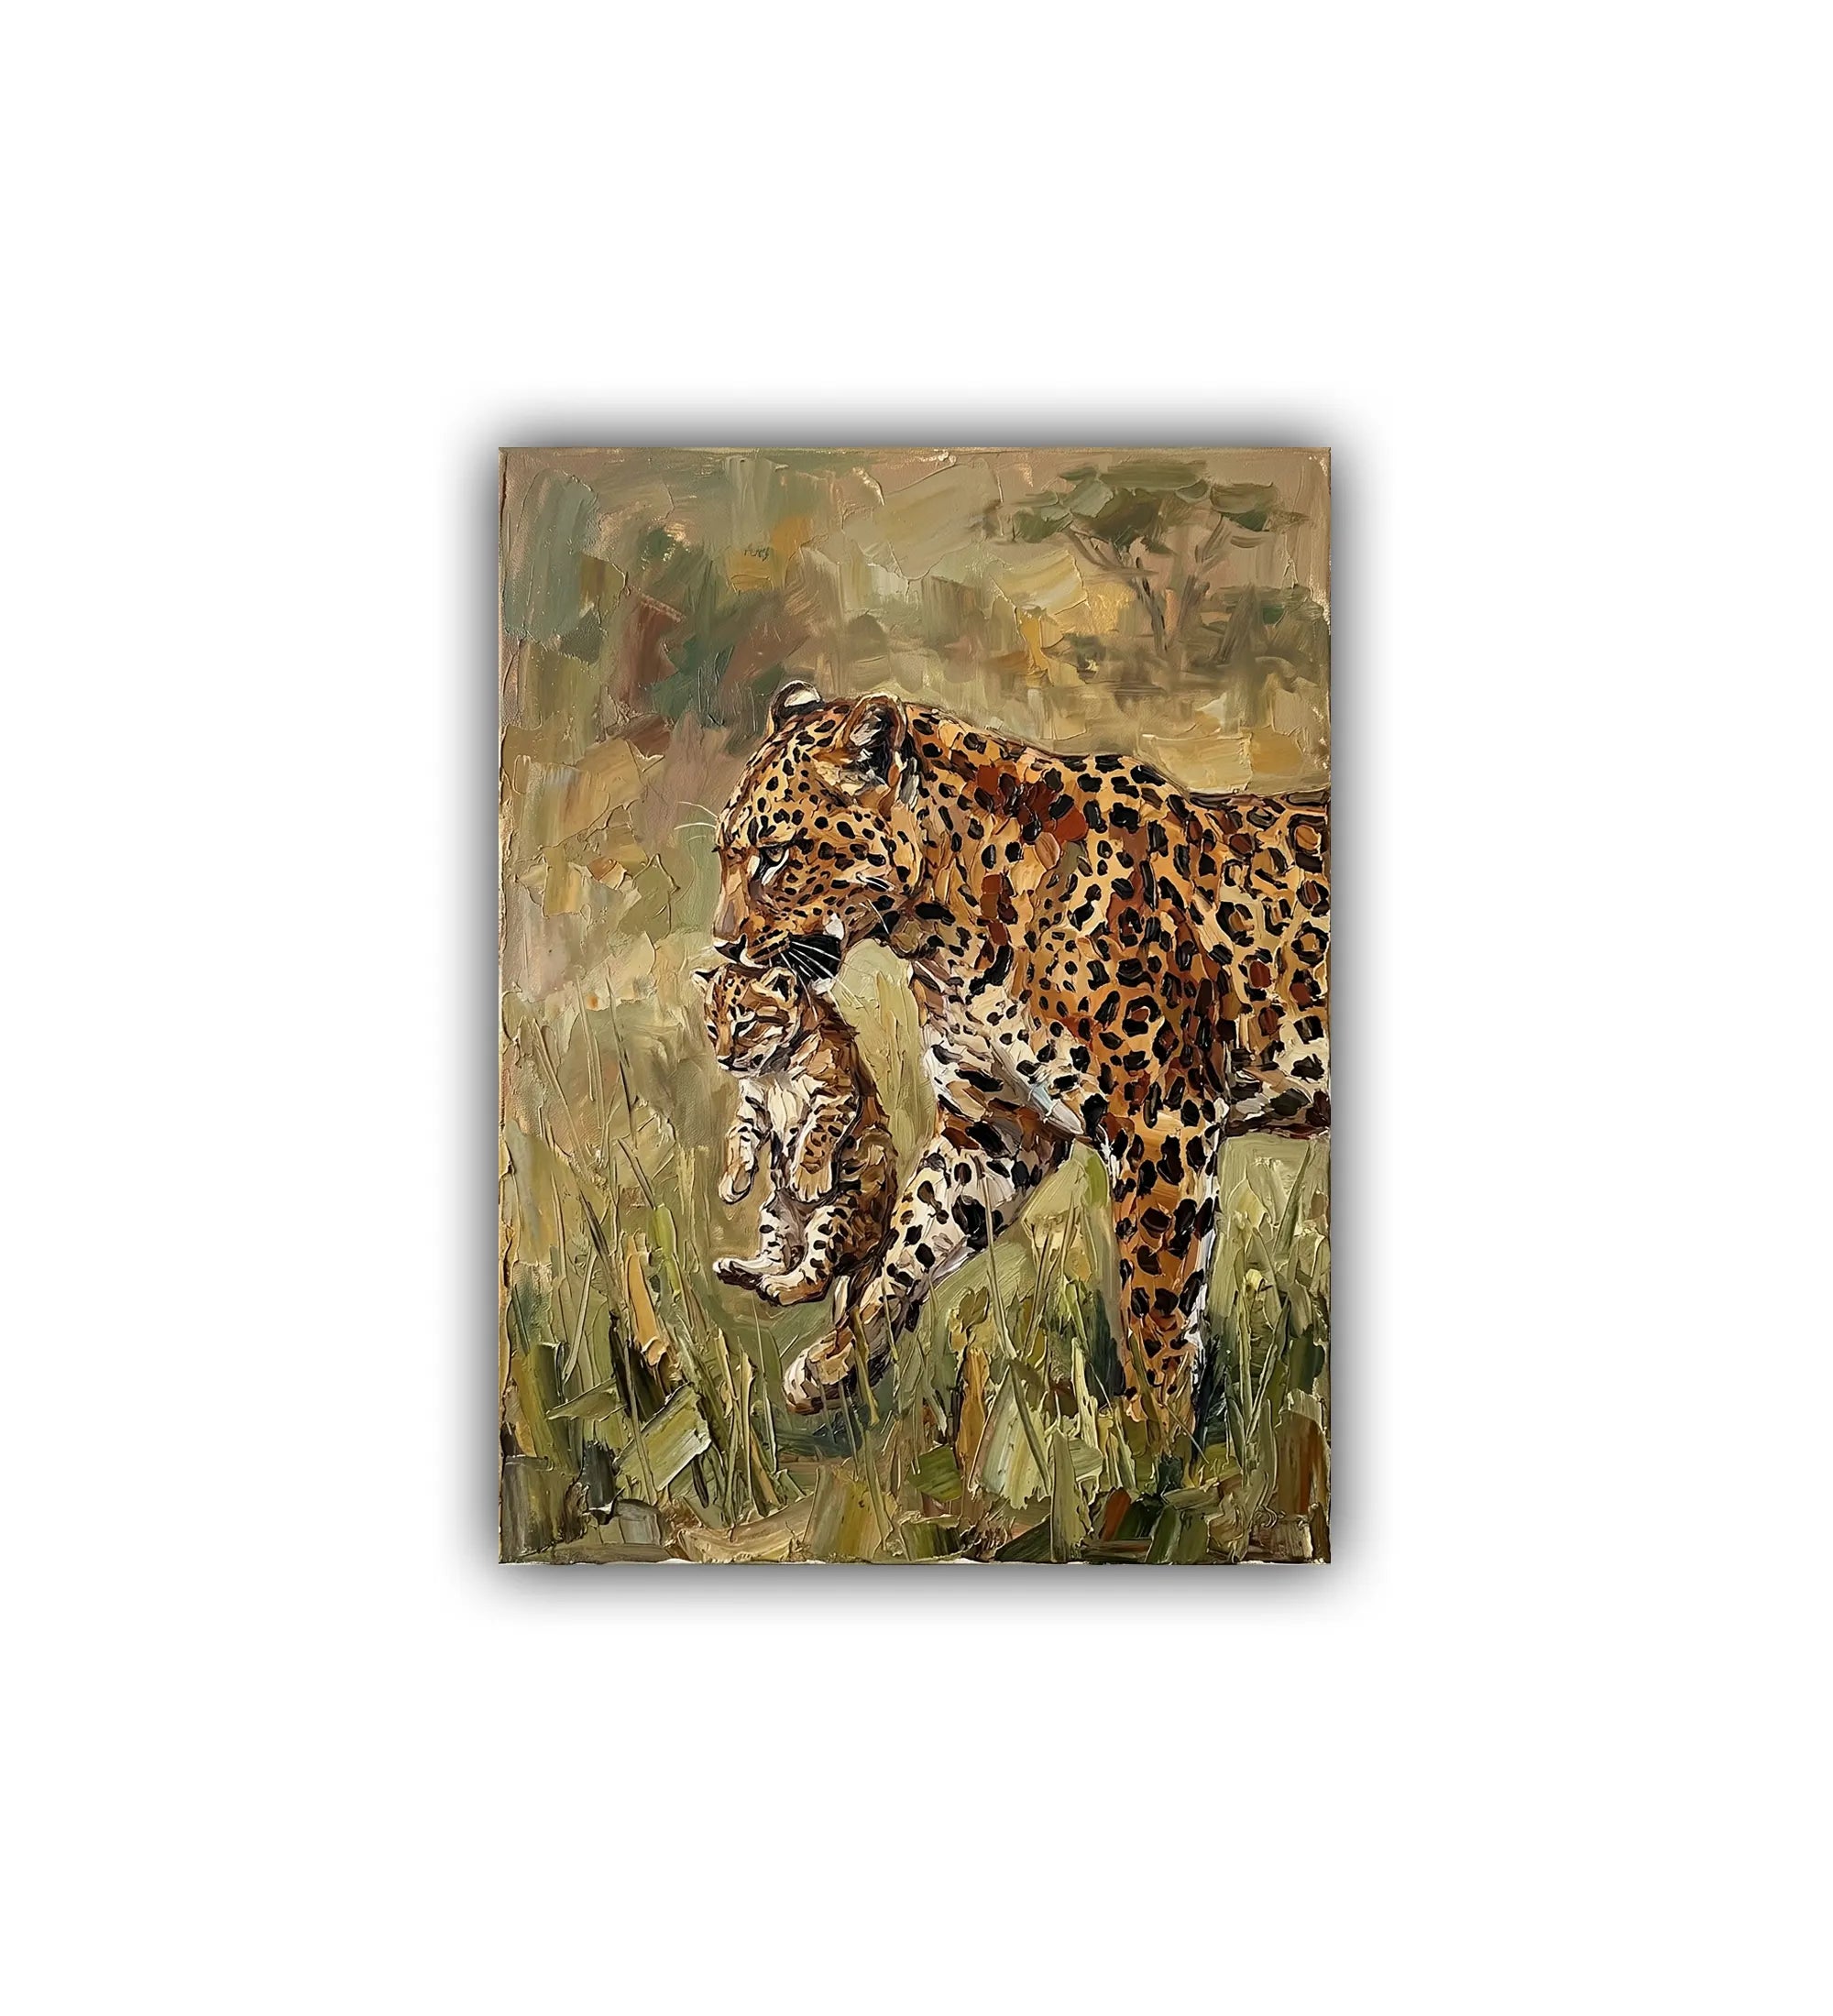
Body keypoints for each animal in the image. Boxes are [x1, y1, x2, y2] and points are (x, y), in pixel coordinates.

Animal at [694, 959, 897, 1398]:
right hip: (774, 1211)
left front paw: (807, 1177)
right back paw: (739, 1269)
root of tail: (874, 1246)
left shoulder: (836, 1094)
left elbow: (817, 1133)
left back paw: (782, 1285)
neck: (773, 1068)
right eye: (713, 1028)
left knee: (814, 1276)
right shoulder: (752, 1107)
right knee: (780, 1257)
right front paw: (733, 1182)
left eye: (745, 1023)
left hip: (837, 1213)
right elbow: (738, 1137)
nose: (724, 1060)